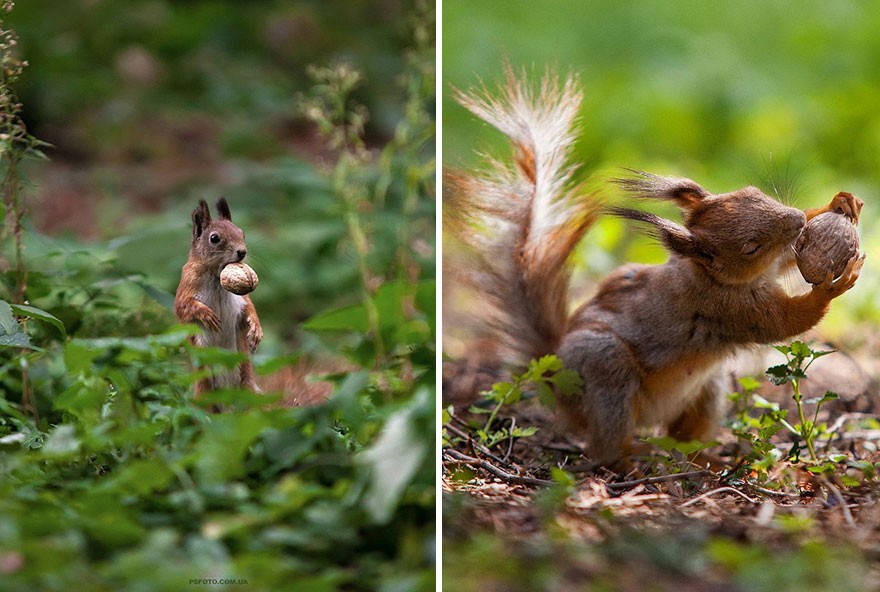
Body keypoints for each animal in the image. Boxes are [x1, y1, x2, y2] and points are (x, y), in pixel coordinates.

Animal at [174, 199, 262, 398]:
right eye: (214, 238)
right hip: (204, 385)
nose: (242, 252)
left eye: (242, 233)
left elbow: (249, 307)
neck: (216, 276)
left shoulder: (241, 298)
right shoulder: (187, 284)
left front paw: (256, 329)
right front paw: (206, 314)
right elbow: (183, 306)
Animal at [446, 69, 868, 468]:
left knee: (682, 437)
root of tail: (553, 378)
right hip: (605, 368)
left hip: (709, 386)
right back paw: (631, 459)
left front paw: (841, 202)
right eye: (751, 247)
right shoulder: (729, 308)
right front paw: (833, 285)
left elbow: (787, 260)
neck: (704, 274)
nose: (795, 219)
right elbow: (786, 322)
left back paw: (704, 457)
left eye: (753, 193)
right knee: (606, 445)